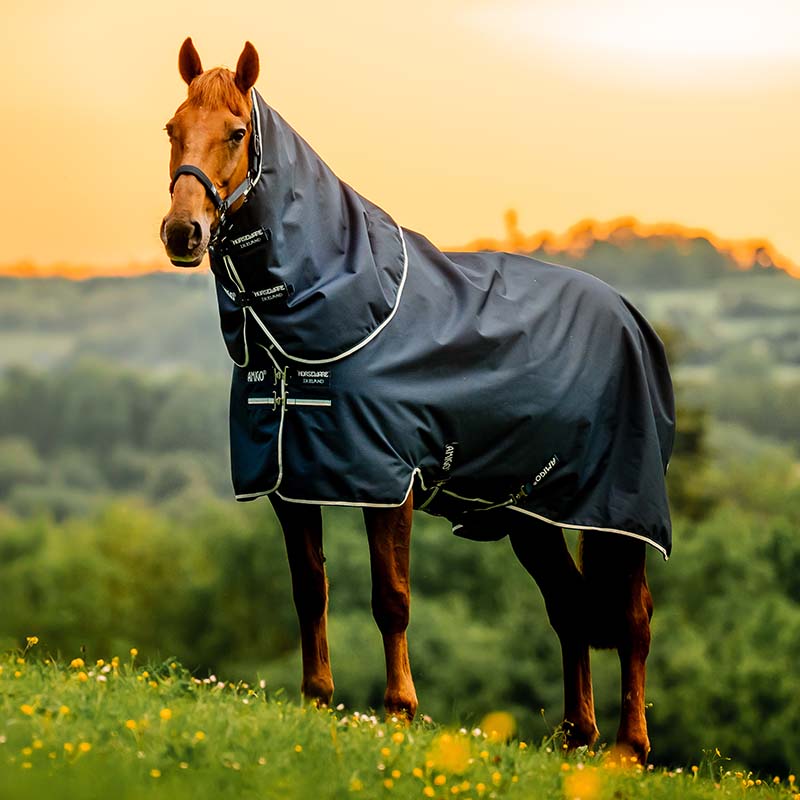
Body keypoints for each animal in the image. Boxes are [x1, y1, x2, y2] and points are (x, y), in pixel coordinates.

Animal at [160, 38, 674, 764]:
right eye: (171, 129)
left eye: (236, 132)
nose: (183, 233)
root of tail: (630, 317)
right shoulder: (290, 482)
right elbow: (309, 590)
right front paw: (316, 699)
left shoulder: (387, 481)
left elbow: (391, 598)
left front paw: (400, 710)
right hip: (532, 514)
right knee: (570, 607)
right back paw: (577, 736)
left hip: (619, 511)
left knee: (633, 617)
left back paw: (629, 748)